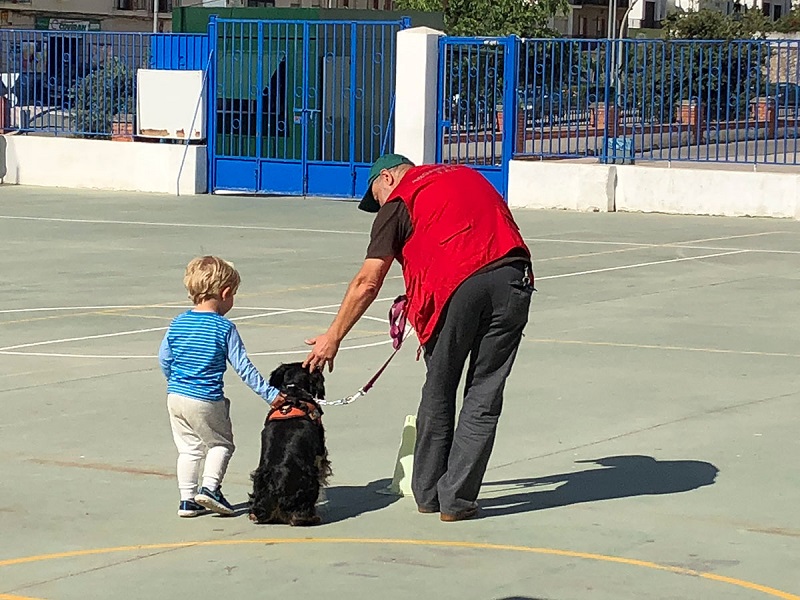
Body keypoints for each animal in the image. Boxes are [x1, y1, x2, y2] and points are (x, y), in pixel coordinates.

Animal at [245, 360, 330, 524]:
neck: (294, 390)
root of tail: (275, 485)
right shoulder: (320, 450)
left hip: (258, 480)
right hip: (310, 482)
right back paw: (311, 517)